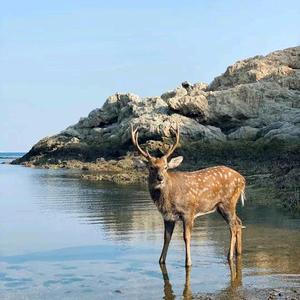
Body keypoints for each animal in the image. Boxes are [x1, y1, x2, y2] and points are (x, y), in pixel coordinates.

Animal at [131, 124, 246, 268]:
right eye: (151, 167)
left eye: (166, 167)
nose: (160, 178)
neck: (168, 200)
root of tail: (243, 179)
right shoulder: (168, 217)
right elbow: (166, 238)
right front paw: (161, 260)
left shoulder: (188, 212)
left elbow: (186, 236)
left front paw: (188, 262)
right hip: (223, 206)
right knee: (239, 222)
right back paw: (238, 253)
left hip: (228, 202)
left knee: (233, 226)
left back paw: (229, 256)